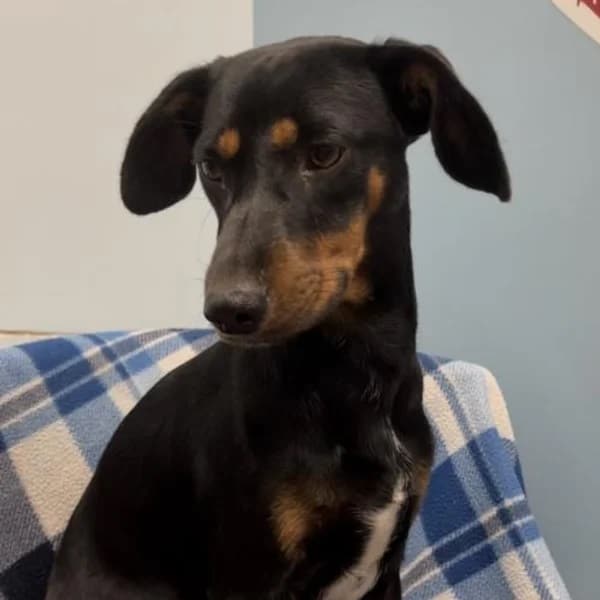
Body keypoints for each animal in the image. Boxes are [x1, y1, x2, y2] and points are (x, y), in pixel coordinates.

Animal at [44, 37, 508, 600]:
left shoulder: (386, 567)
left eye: (324, 153)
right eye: (210, 167)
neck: (354, 374)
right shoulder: (251, 572)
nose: (227, 310)